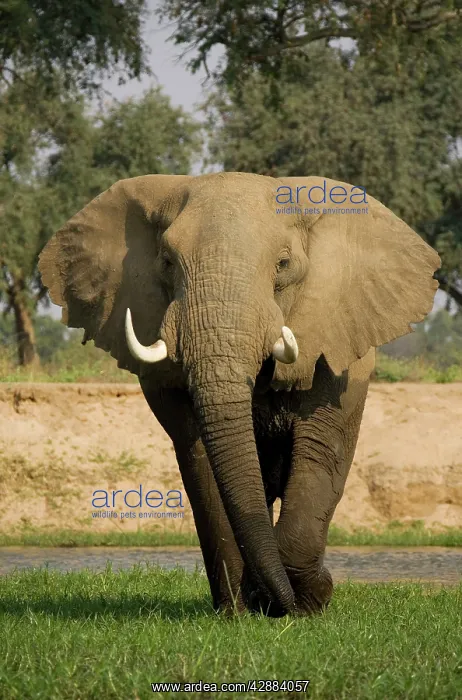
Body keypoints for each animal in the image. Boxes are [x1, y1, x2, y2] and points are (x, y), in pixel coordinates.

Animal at [38, 172, 440, 617]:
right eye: (166, 263)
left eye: (283, 265)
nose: (283, 603)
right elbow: (203, 461)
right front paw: (245, 611)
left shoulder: (337, 347)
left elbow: (320, 451)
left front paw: (307, 602)